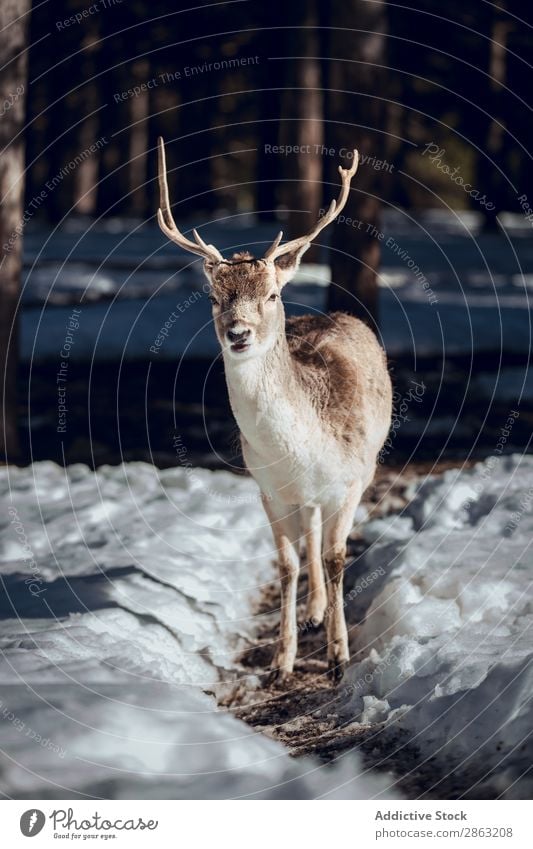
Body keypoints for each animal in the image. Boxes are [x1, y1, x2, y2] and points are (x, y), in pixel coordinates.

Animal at [156, 137, 392, 684]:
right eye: (214, 298)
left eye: (272, 293)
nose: (238, 333)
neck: (302, 450)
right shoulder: (267, 488)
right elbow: (287, 565)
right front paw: (282, 664)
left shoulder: (352, 480)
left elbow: (336, 557)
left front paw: (338, 659)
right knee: (308, 532)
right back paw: (312, 611)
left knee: (320, 538)